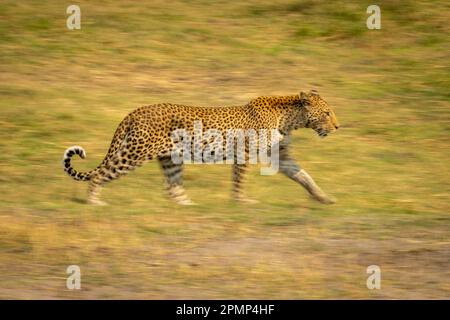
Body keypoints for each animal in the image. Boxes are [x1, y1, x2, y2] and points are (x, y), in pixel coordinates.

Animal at [62, 89, 338, 205]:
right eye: (326, 113)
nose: (338, 126)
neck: (289, 119)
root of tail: (135, 111)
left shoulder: (280, 157)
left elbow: (304, 176)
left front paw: (323, 197)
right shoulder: (244, 153)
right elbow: (240, 180)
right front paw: (241, 201)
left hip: (170, 158)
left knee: (172, 187)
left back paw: (189, 207)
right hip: (134, 154)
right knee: (100, 174)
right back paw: (94, 202)